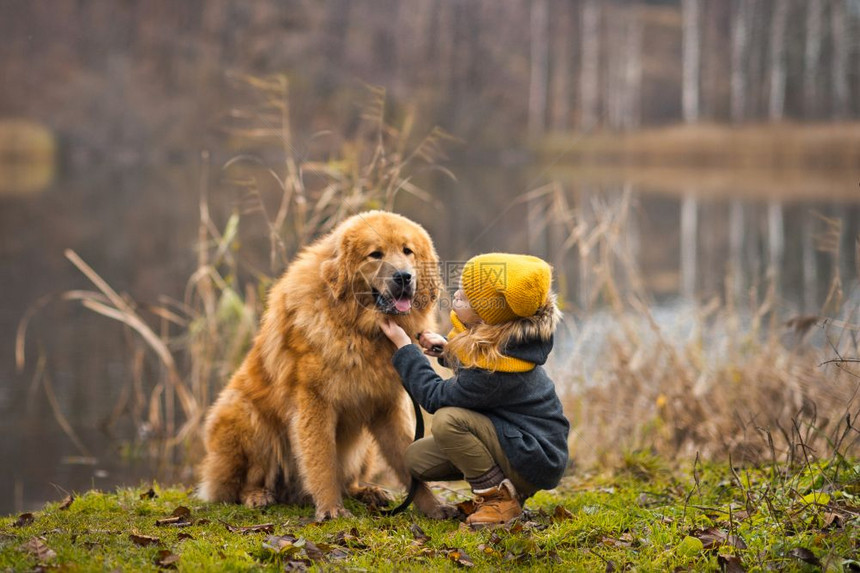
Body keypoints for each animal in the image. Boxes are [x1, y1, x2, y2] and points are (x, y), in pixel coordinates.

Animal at [197, 210, 450, 520]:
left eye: (407, 251)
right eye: (375, 254)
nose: (404, 276)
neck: (357, 329)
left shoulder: (387, 405)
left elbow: (407, 460)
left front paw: (433, 507)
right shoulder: (315, 401)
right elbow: (322, 460)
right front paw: (330, 509)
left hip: (364, 447)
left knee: (349, 481)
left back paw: (368, 492)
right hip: (248, 418)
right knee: (239, 484)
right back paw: (257, 495)